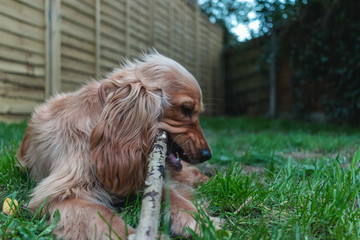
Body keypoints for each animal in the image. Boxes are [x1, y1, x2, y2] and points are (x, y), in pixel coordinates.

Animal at [18, 52, 218, 238]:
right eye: (186, 109)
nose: (207, 154)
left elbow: (170, 192)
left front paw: (196, 218)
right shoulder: (59, 194)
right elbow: (106, 217)